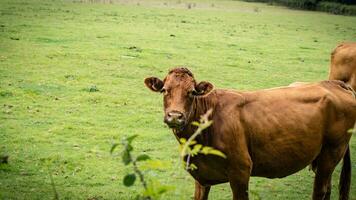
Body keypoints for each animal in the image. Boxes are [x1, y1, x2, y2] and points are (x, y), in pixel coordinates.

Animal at [143, 67, 354, 200]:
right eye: (164, 90)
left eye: (192, 92)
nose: (175, 116)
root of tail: (334, 83)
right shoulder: (201, 177)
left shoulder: (241, 171)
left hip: (332, 152)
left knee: (320, 191)